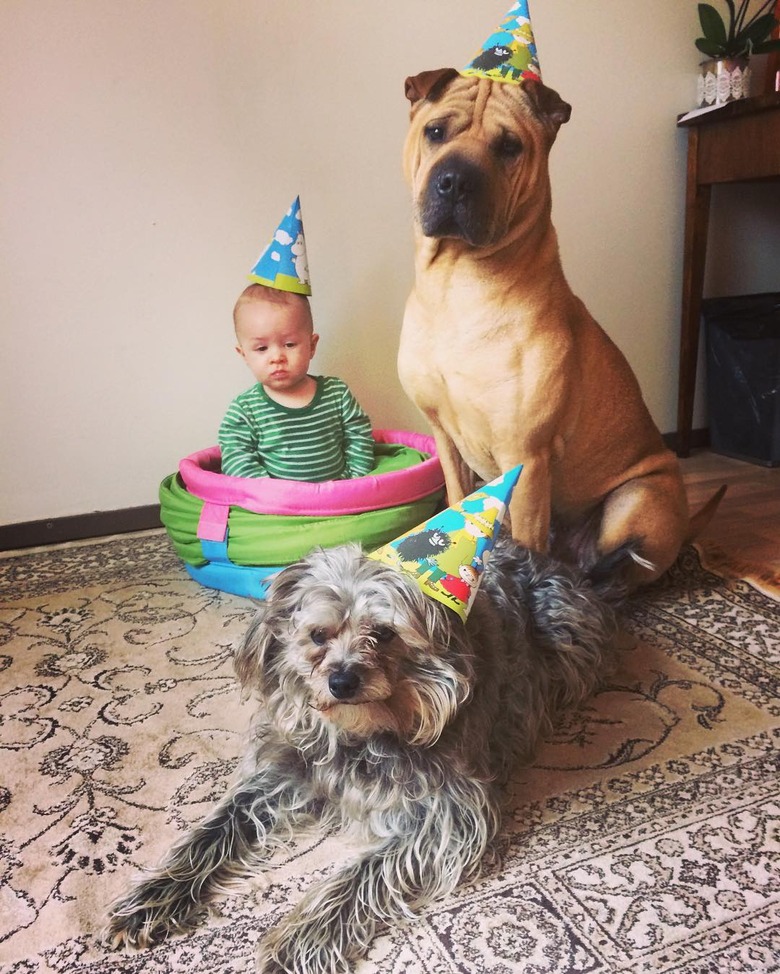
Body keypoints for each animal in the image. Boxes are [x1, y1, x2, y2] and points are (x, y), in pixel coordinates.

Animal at [103, 540, 632, 974]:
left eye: (385, 633)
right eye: (318, 635)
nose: (342, 681)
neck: (359, 733)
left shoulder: (445, 815)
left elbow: (360, 876)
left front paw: (300, 939)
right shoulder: (279, 772)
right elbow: (213, 831)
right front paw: (154, 895)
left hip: (566, 636)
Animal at [402, 70, 720, 588]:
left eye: (509, 146)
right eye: (435, 131)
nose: (455, 181)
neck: (457, 281)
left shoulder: (527, 459)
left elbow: (526, 546)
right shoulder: (446, 440)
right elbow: (454, 503)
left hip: (636, 500)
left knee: (623, 568)